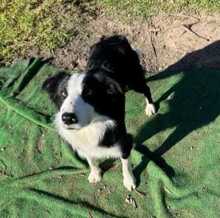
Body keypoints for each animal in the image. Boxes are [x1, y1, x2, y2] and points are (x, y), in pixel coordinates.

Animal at [43, 35, 156, 191]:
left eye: (88, 93)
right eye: (63, 94)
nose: (67, 118)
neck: (91, 124)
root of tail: (116, 37)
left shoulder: (123, 141)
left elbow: (125, 163)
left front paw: (129, 181)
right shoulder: (85, 144)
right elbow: (91, 158)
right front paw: (95, 173)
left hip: (134, 80)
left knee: (146, 89)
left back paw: (150, 107)